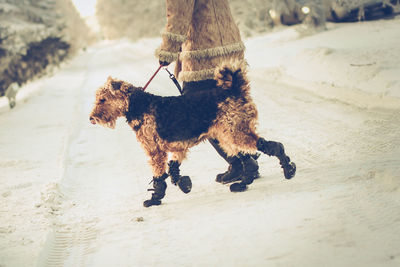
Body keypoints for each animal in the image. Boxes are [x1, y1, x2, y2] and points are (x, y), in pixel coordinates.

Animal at [91, 60, 296, 207]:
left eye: (102, 99)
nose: (91, 118)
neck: (139, 106)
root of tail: (236, 90)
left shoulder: (154, 151)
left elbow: (159, 177)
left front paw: (155, 199)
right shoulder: (177, 147)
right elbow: (173, 170)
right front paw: (184, 184)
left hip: (235, 133)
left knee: (272, 146)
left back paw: (288, 170)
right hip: (227, 136)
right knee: (249, 159)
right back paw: (242, 183)